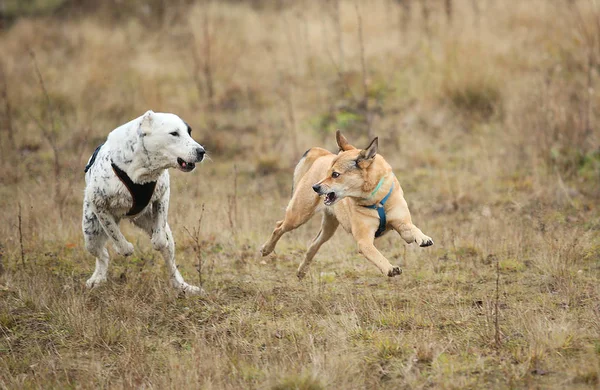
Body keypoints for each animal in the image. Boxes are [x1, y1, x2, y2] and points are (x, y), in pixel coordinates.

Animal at [82, 109, 205, 292]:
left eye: (189, 132)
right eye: (174, 133)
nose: (201, 151)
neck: (141, 171)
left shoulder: (163, 195)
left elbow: (160, 239)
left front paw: (156, 241)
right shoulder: (98, 203)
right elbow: (114, 233)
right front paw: (126, 248)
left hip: (156, 227)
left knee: (171, 264)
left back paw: (184, 287)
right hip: (90, 232)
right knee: (102, 254)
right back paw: (97, 279)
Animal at [258, 131, 432, 278]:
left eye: (335, 175)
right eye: (328, 173)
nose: (315, 187)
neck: (376, 200)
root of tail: (322, 154)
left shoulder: (402, 223)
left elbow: (412, 229)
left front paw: (423, 238)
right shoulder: (364, 241)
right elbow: (376, 255)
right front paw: (389, 268)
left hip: (328, 229)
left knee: (314, 244)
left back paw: (302, 270)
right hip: (298, 216)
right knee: (279, 226)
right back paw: (266, 249)